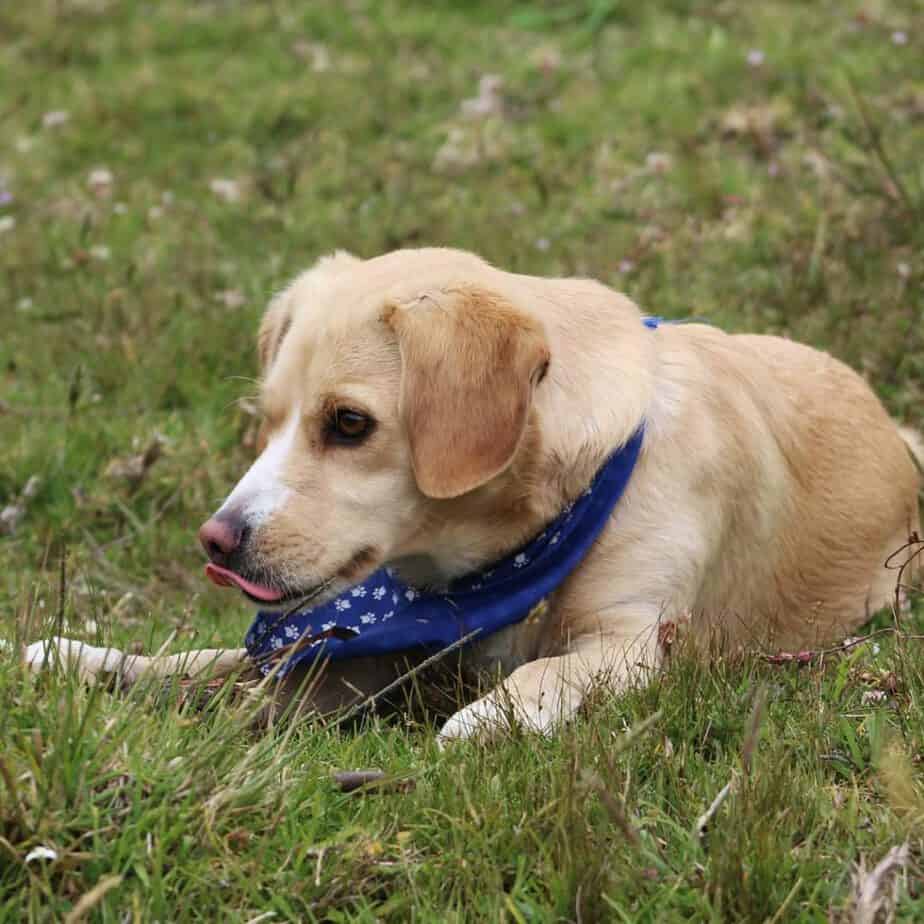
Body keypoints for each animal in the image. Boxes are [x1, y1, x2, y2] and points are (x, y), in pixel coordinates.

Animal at [23, 247, 924, 744]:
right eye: (269, 420)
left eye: (348, 423)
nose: (216, 541)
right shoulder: (368, 650)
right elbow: (202, 663)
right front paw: (90, 658)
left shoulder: (631, 641)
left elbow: (543, 676)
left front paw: (485, 721)